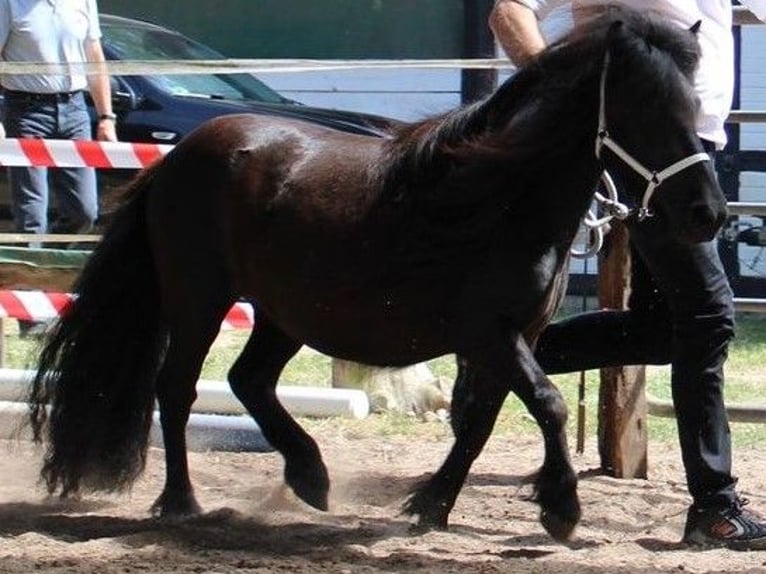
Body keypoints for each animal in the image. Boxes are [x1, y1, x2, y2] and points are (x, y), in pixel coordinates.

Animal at [28, 7, 726, 542]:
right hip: (199, 298)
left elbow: (480, 422)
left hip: (283, 313)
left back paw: (310, 476)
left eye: (694, 107)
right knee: (176, 389)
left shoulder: (515, 337)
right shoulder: (489, 335)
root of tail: (176, 159)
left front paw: (432, 507)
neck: (499, 200)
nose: (708, 214)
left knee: (249, 380)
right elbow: (548, 405)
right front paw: (561, 508)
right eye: (645, 109)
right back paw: (181, 502)